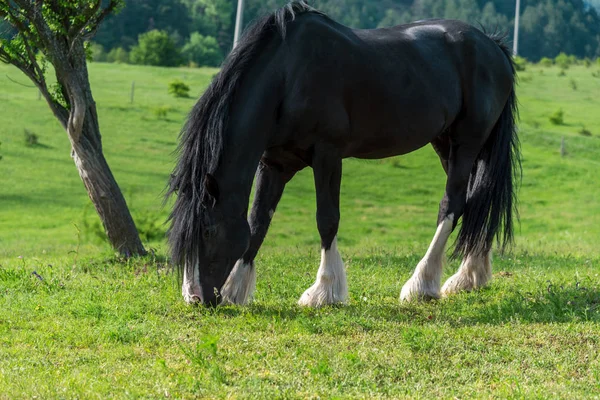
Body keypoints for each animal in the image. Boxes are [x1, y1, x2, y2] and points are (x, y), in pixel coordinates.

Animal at [168, 0, 520, 306]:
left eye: (207, 230)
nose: (194, 298)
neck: (288, 76)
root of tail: (492, 45)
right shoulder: (274, 163)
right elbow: (257, 222)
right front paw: (236, 288)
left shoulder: (327, 155)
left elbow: (327, 219)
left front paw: (324, 292)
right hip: (446, 144)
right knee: (476, 200)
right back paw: (469, 276)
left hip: (467, 143)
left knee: (453, 204)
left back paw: (422, 284)